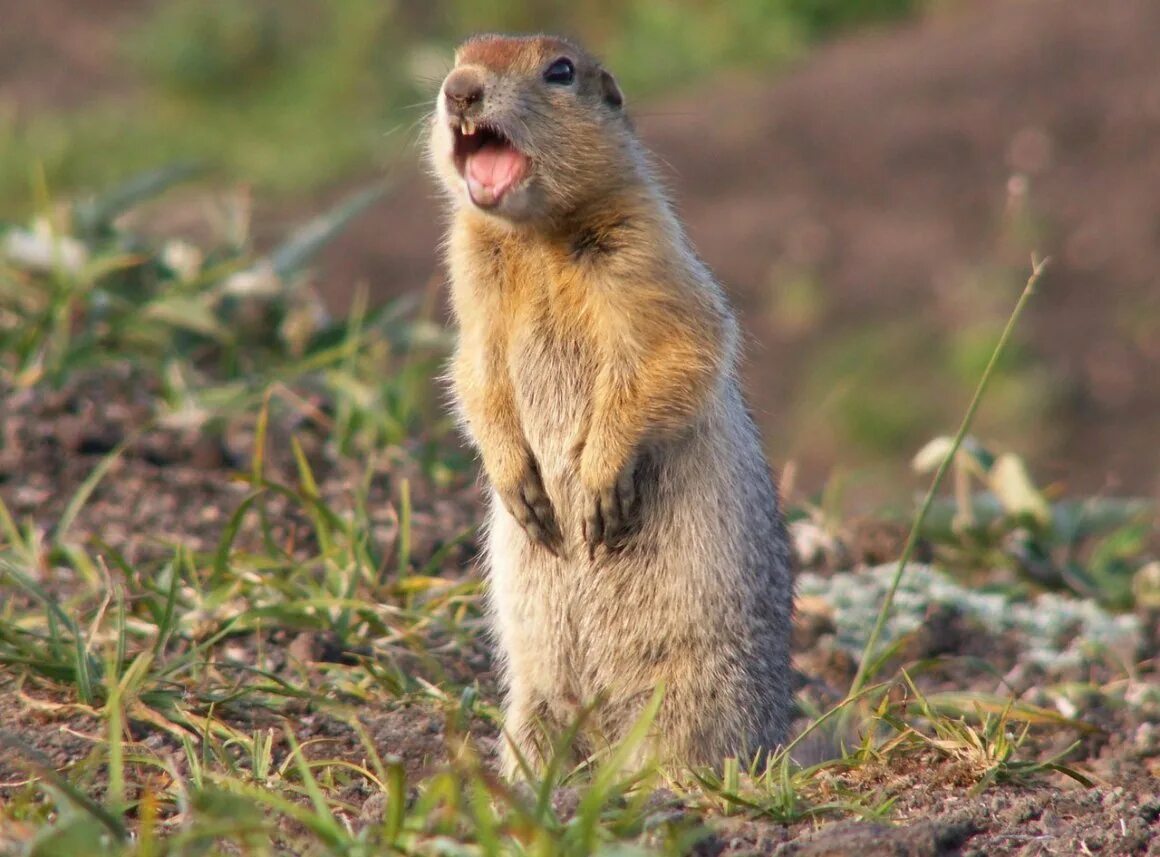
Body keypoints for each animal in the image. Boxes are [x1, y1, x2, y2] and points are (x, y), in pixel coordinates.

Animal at [429, 33, 798, 774]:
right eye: (457, 54)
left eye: (560, 71)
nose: (459, 89)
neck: (537, 234)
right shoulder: (471, 277)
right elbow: (476, 373)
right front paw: (519, 485)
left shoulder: (644, 247)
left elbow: (678, 348)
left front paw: (599, 484)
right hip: (533, 695)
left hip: (694, 692)